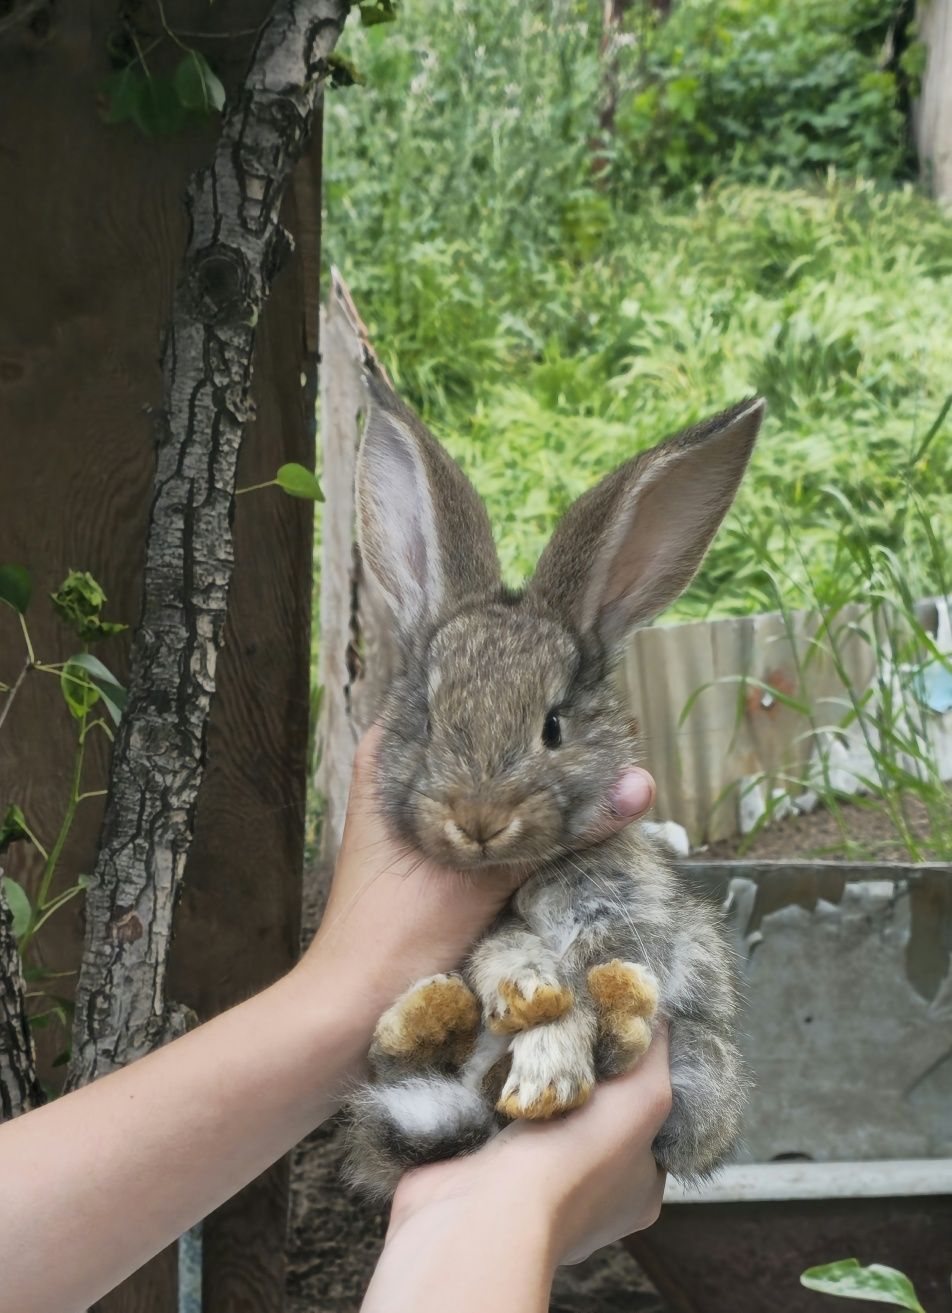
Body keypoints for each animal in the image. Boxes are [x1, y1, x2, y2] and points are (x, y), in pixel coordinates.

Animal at [344, 367, 766, 1202]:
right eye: (427, 718)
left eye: (553, 726)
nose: (479, 818)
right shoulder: (491, 936)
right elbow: (519, 969)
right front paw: (532, 1009)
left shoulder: (620, 915)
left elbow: (586, 1000)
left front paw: (553, 1064)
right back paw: (434, 1013)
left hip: (707, 1070)